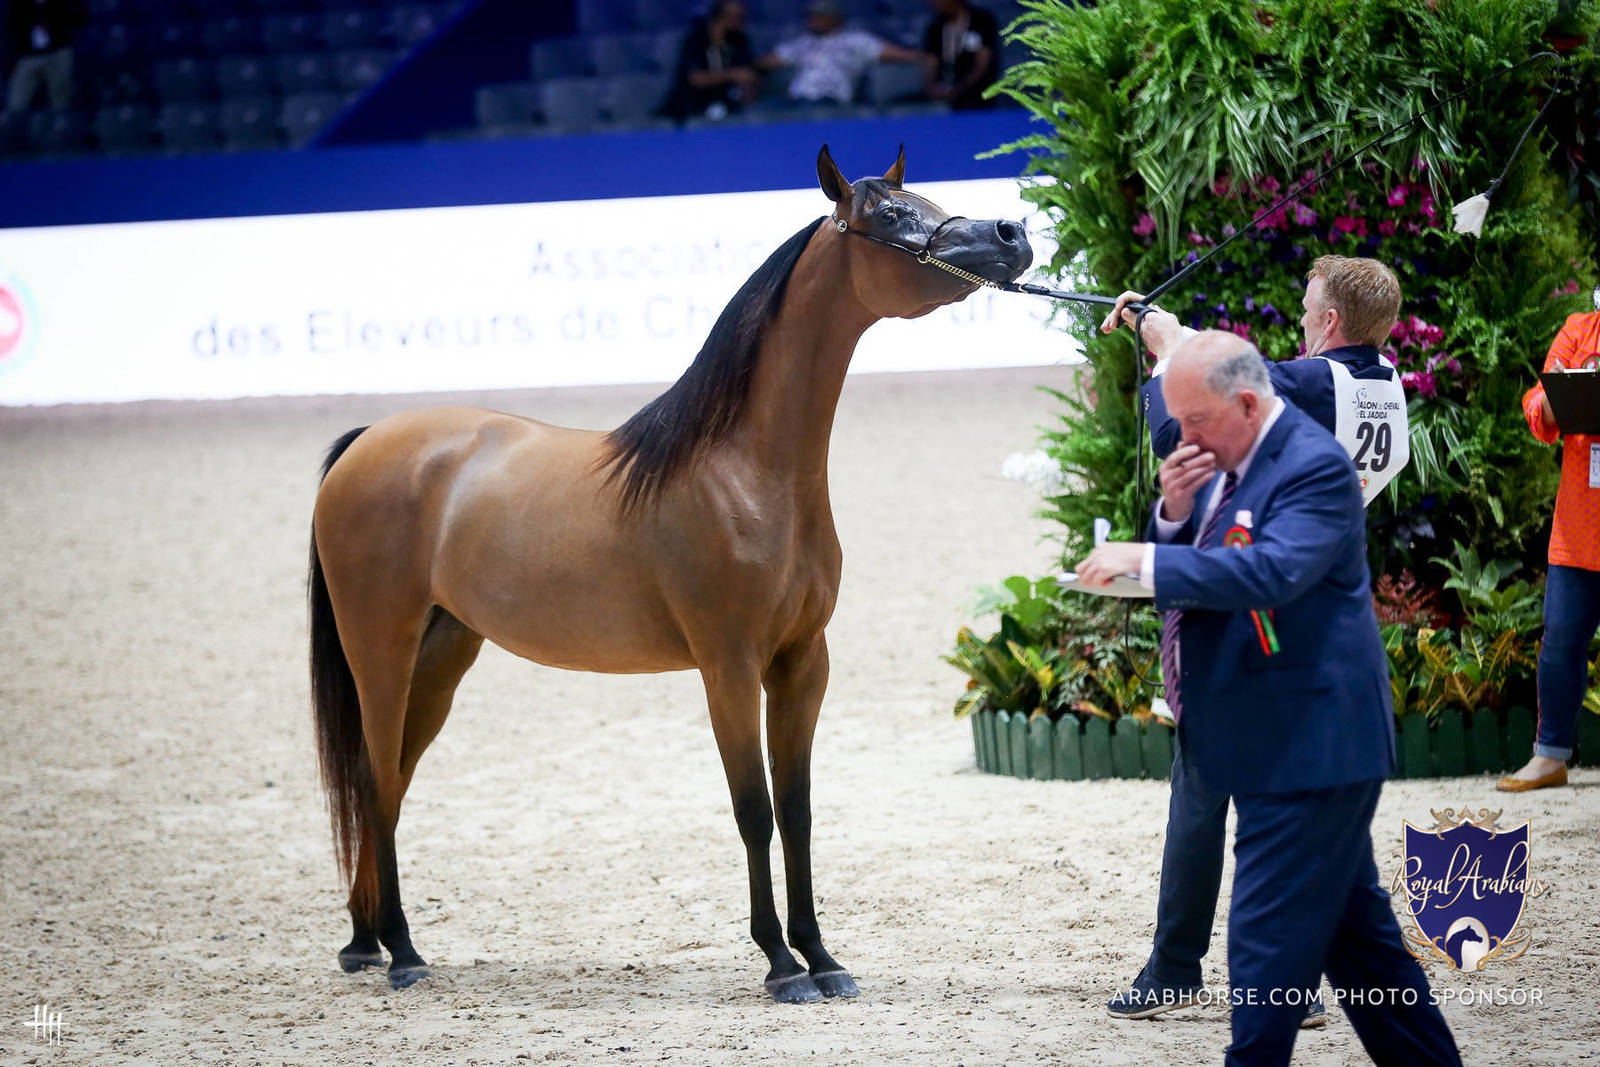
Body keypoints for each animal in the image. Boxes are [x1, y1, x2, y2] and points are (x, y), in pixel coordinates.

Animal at [306, 145, 1033, 1003]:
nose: (1013, 233)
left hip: (443, 654)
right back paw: (403, 951)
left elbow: (798, 809)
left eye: (928, 201)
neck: (746, 472)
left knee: (385, 780)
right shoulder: (728, 665)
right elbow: (753, 809)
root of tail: (364, 444)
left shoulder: (802, 663)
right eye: (889, 216)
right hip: (379, 650)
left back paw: (366, 942)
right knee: (377, 780)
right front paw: (780, 964)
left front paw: (823, 957)